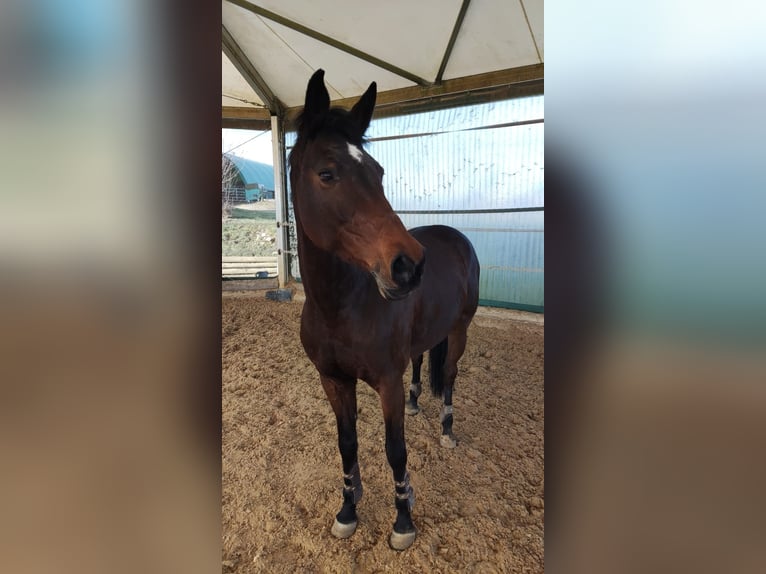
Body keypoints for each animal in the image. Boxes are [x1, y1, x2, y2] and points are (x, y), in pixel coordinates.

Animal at [290, 70, 480, 552]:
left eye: (376, 171)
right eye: (326, 173)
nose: (408, 265)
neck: (341, 307)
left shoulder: (385, 382)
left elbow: (396, 450)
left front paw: (403, 521)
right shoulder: (333, 380)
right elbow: (348, 444)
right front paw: (347, 509)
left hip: (460, 330)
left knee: (449, 375)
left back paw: (447, 431)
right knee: (421, 361)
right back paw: (416, 402)